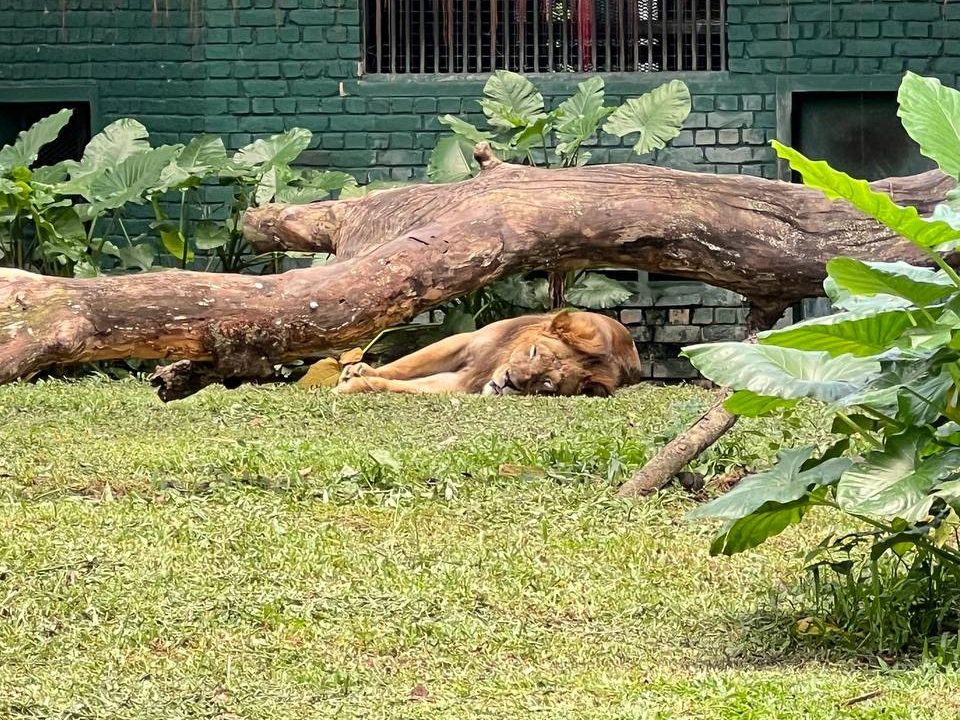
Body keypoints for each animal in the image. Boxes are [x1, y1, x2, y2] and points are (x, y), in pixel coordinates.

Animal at [333, 310, 643, 397]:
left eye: (547, 384)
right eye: (533, 351)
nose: (510, 382)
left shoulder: (458, 383)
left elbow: (393, 384)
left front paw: (354, 385)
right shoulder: (465, 340)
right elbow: (405, 366)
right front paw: (358, 370)